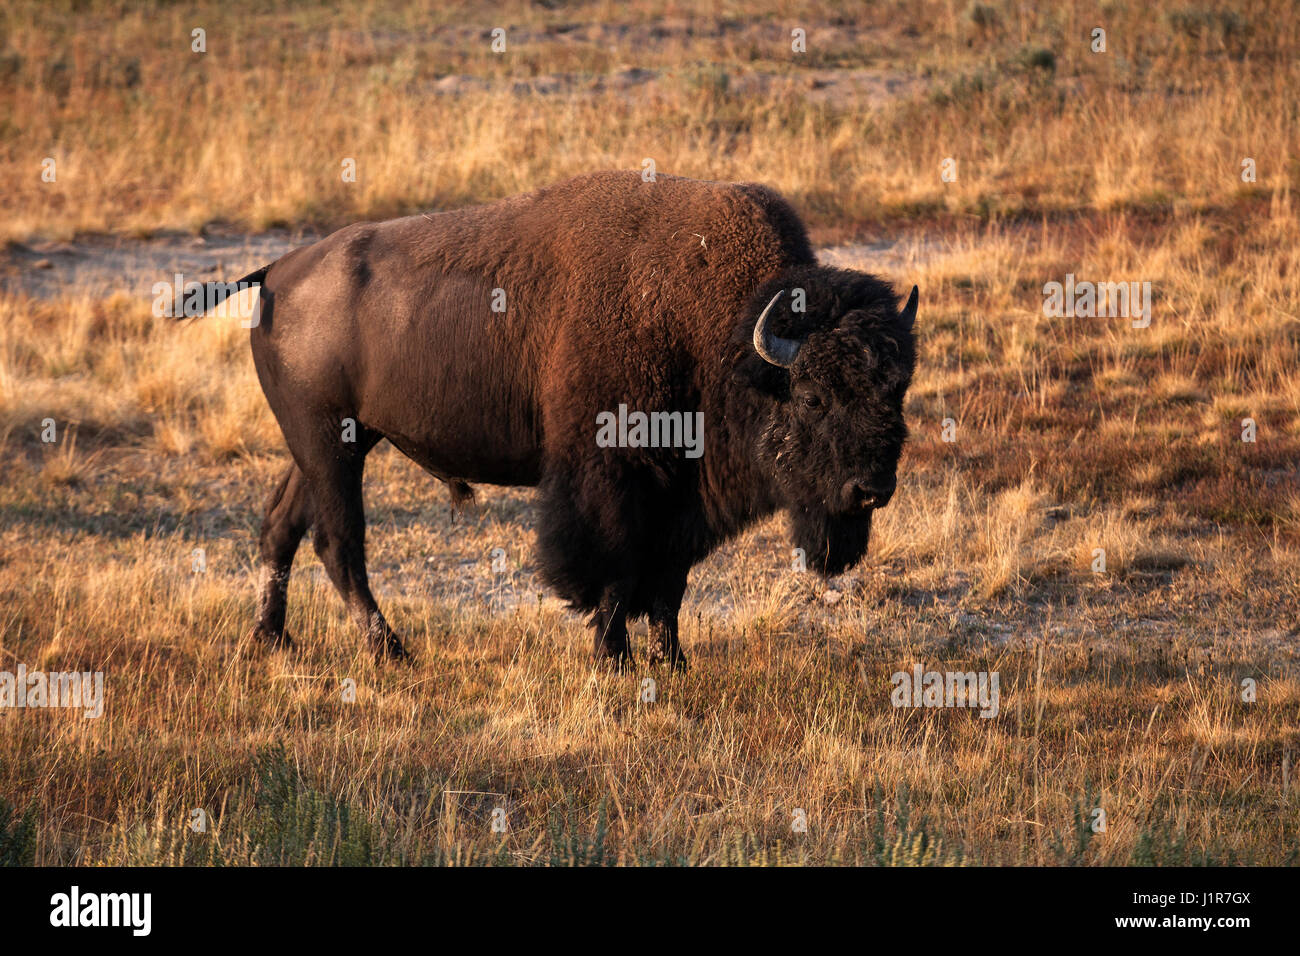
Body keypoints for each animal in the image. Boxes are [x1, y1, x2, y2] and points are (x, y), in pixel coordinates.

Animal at [210, 171, 915, 665]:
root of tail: (278, 271)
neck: (724, 335)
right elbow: (615, 569)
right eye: (814, 397)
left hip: (334, 443)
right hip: (329, 442)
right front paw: (614, 658)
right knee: (339, 541)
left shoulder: (680, 496)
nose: (872, 489)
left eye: (897, 391)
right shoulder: (612, 476)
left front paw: (673, 661)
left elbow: (670, 581)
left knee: (282, 526)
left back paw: (270, 641)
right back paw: (390, 652)